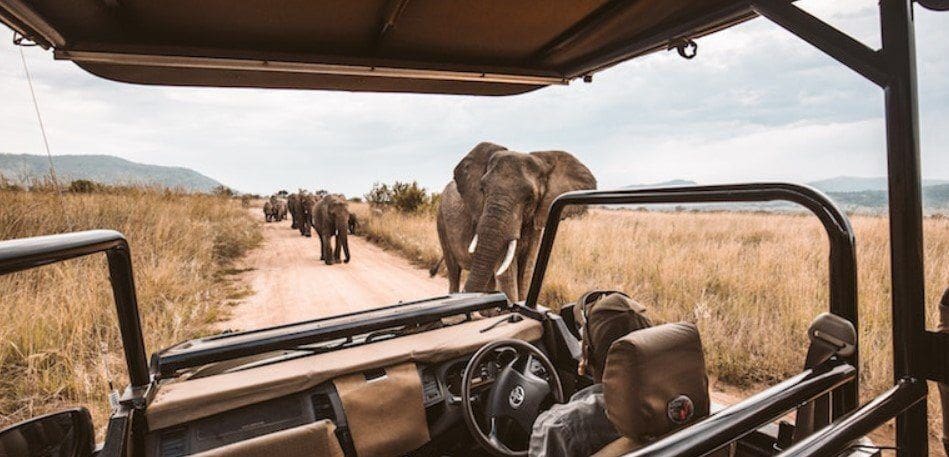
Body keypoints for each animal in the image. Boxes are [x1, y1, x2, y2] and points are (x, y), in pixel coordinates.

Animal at [434, 142, 596, 301]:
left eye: (529, 198)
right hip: (441, 221)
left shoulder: (536, 221)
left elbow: (526, 270)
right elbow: (507, 274)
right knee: (454, 272)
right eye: (482, 189)